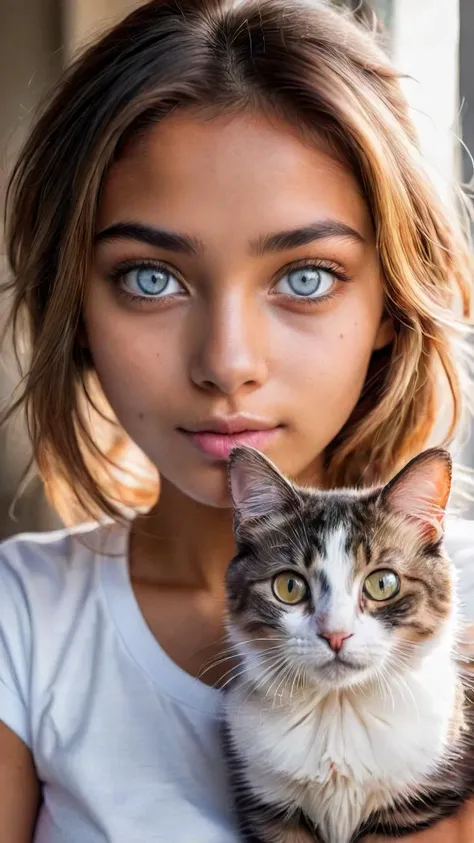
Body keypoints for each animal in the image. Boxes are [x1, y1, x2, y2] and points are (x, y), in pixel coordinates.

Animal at [222, 446, 474, 840]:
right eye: (289, 586)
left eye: (383, 583)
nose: (335, 634)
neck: (338, 712)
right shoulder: (271, 803)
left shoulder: (415, 805)